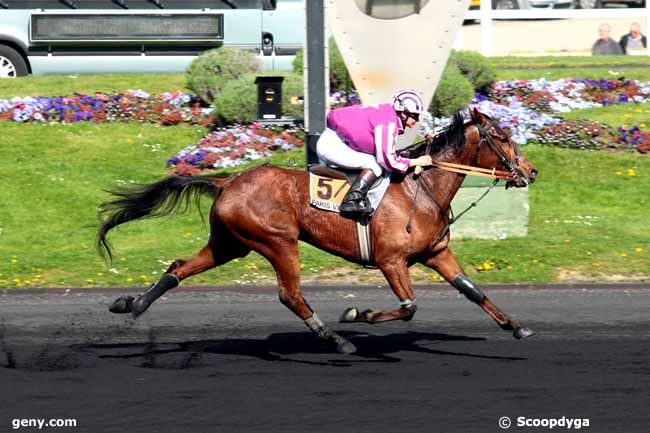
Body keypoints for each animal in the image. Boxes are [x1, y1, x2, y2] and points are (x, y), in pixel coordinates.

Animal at [97, 106, 536, 352]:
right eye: (502, 137)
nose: (530, 171)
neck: (421, 189)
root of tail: (227, 181)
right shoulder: (391, 260)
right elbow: (409, 307)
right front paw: (359, 313)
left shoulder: (436, 253)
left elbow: (473, 291)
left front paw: (516, 326)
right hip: (277, 241)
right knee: (291, 295)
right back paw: (337, 340)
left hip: (229, 243)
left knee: (177, 267)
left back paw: (132, 305)